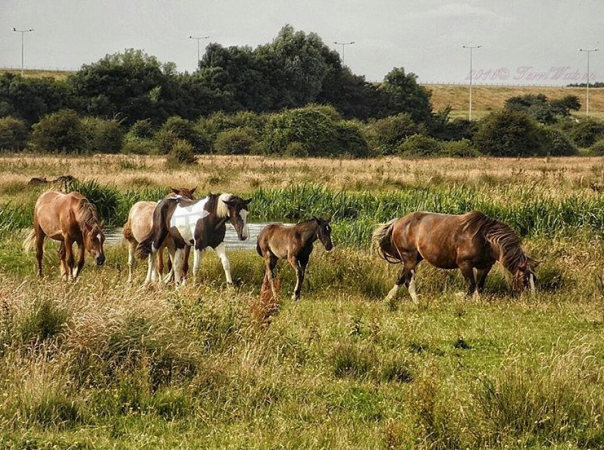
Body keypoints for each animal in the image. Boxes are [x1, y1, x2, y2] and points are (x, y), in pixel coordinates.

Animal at [376, 211, 540, 302]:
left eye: (535, 279)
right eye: (525, 279)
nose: (532, 300)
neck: (485, 239)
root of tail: (397, 222)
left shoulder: (485, 266)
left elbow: (479, 286)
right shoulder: (464, 264)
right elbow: (471, 286)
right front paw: (458, 297)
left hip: (415, 259)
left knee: (403, 279)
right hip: (409, 258)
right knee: (405, 280)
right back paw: (407, 301)